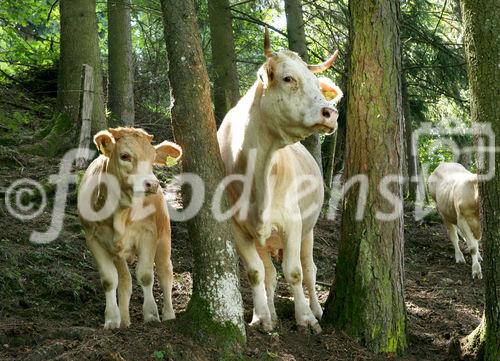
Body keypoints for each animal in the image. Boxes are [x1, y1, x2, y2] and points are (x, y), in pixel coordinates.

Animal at [80, 126, 184, 326]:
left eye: (153, 158)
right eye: (125, 156)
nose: (152, 184)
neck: (120, 212)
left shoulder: (148, 234)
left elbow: (146, 275)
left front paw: (151, 315)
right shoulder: (93, 238)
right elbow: (109, 280)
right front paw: (112, 320)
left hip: (164, 237)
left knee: (165, 273)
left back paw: (168, 315)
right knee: (125, 281)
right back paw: (125, 321)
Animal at [217, 28, 342, 332]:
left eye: (318, 85)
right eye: (288, 79)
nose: (331, 113)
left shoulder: (293, 222)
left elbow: (294, 273)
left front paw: (306, 318)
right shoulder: (238, 227)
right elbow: (255, 273)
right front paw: (262, 317)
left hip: (309, 229)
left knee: (309, 270)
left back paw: (317, 309)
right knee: (270, 273)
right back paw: (271, 312)